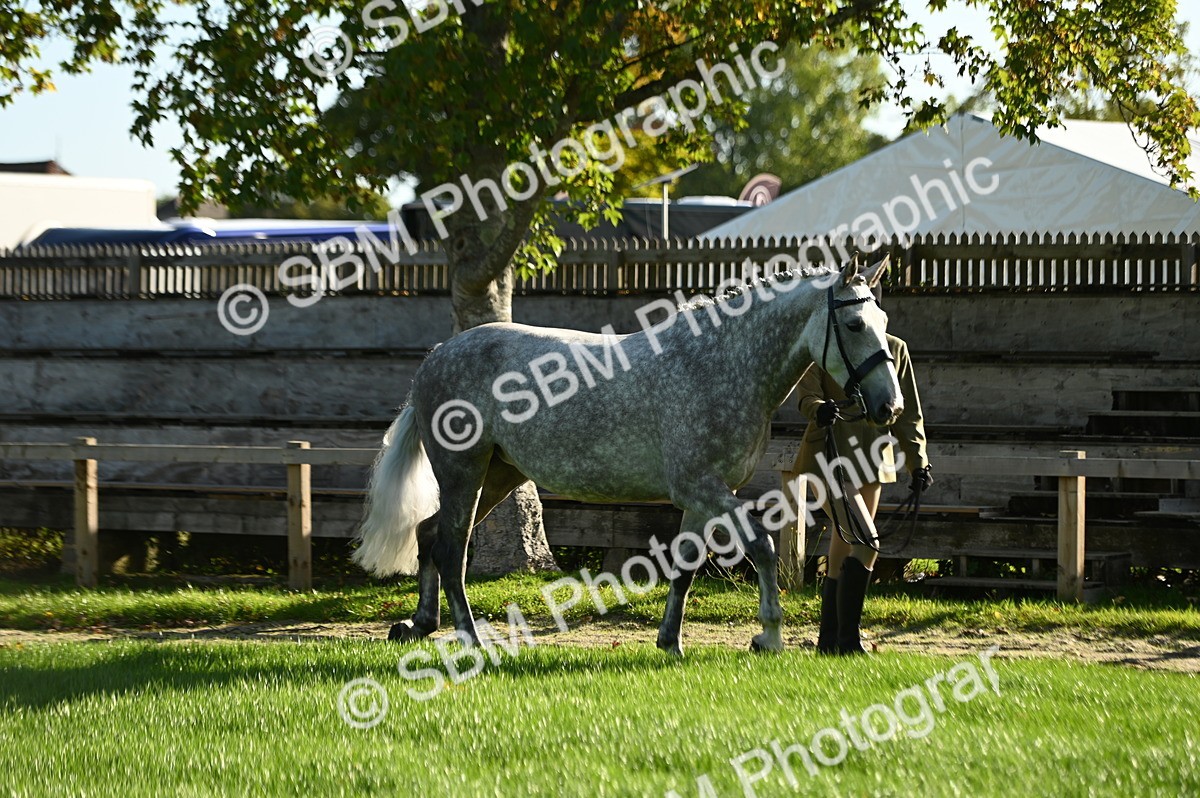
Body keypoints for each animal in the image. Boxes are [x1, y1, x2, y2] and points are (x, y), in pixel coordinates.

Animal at [353, 256, 902, 655]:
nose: (889, 407)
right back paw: (469, 638)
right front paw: (767, 636)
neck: (720, 364)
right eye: (855, 324)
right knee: (451, 549)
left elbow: (685, 565)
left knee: (429, 533)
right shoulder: (703, 487)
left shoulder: (704, 495)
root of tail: (436, 357)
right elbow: (763, 547)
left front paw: (671, 643)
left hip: (498, 474)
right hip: (463, 472)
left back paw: (419, 625)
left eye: (883, 320)